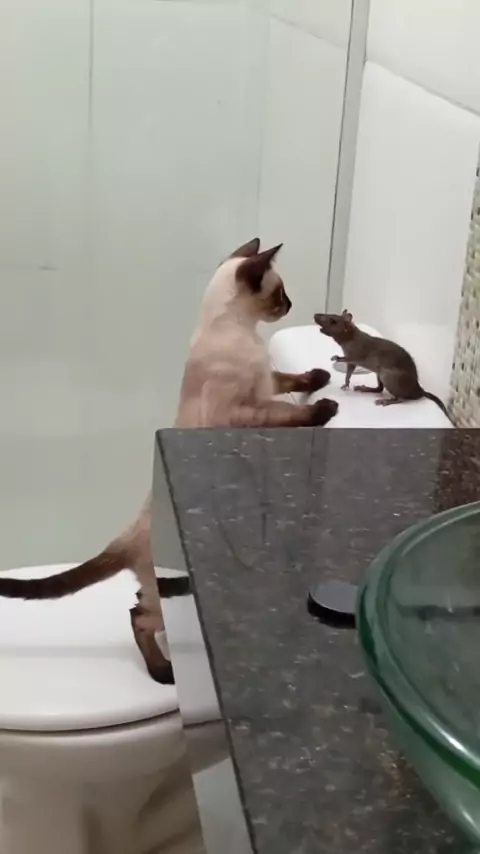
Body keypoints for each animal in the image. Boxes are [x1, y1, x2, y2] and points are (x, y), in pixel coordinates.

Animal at [0, 238, 338, 683]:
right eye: (279, 292)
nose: (290, 305)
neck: (241, 332)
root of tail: (127, 535)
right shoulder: (246, 410)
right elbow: (289, 413)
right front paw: (325, 409)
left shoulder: (266, 383)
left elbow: (289, 378)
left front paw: (320, 378)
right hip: (168, 596)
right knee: (139, 618)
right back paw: (163, 672)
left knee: (136, 604)